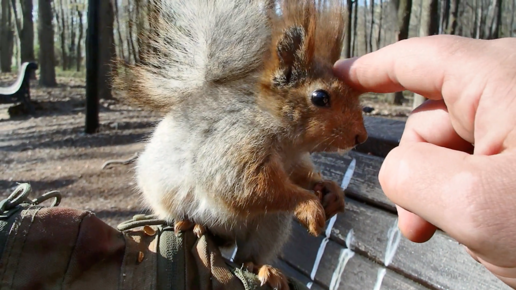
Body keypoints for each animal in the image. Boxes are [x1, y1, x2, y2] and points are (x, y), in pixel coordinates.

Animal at [116, 1, 366, 288]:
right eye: (320, 97)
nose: (361, 137)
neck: (286, 139)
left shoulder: (294, 160)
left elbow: (300, 175)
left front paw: (331, 191)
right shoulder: (232, 144)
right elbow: (246, 187)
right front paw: (309, 205)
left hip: (270, 225)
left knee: (248, 255)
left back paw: (263, 269)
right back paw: (191, 224)